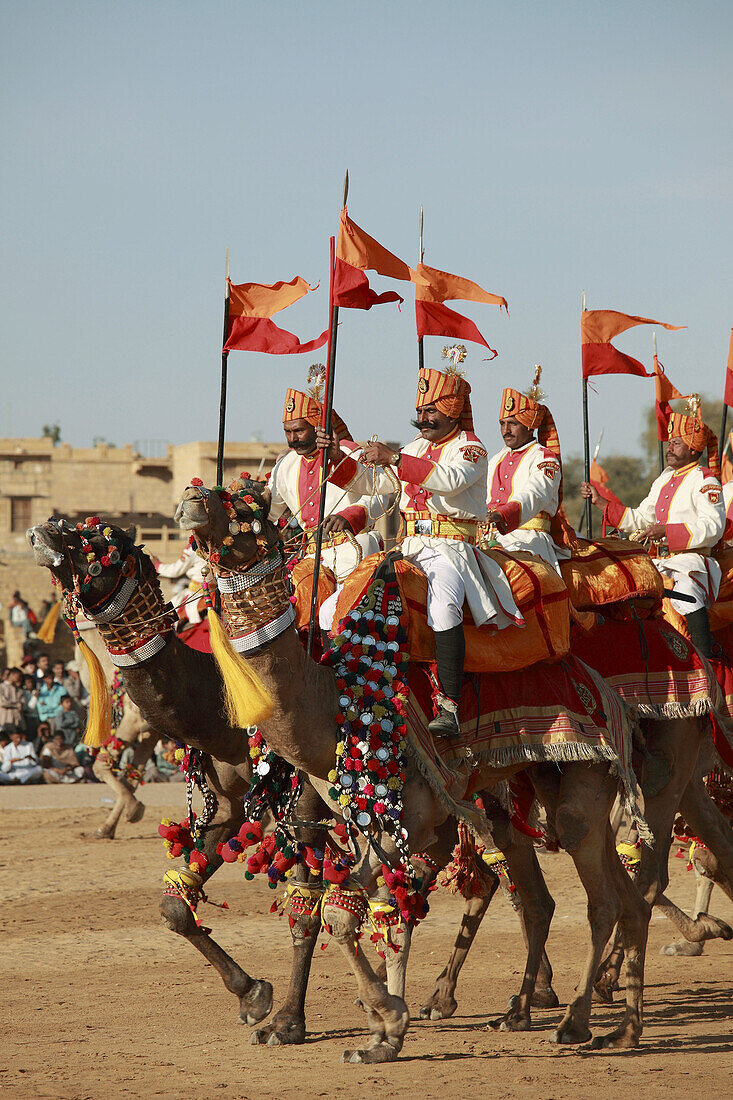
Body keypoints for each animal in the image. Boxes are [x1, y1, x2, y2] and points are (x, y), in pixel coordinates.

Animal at [26, 517, 327, 1047]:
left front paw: (288, 1022)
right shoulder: (224, 801)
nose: (47, 528)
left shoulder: (304, 805)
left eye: (101, 541)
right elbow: (176, 905)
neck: (219, 698)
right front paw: (252, 995)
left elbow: (303, 910)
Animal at [172, 477, 651, 1060]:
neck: (335, 703)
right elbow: (358, 910)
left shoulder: (413, 816)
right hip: (543, 785)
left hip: (584, 780)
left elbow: (358, 910)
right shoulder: (365, 819)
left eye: (248, 508)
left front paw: (389, 1014)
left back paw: (576, 1023)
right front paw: (382, 1034)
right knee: (605, 897)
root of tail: (608, 696)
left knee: (601, 898)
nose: (192, 499)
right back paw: (613, 1026)